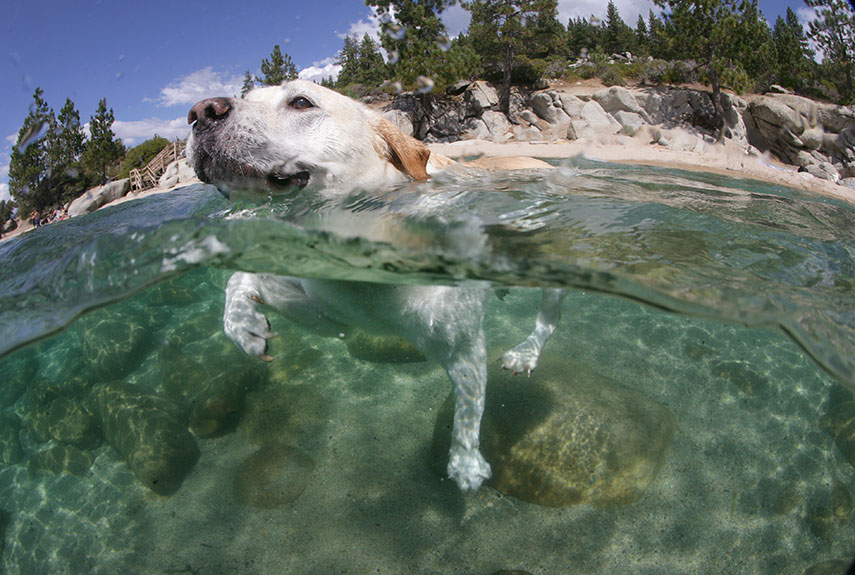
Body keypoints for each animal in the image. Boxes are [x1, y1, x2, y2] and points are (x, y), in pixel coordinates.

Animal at [185, 81, 564, 492]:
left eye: (301, 101)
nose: (200, 111)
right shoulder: (327, 310)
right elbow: (245, 279)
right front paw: (244, 325)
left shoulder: (459, 342)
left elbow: (469, 401)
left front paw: (465, 462)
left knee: (548, 318)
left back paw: (526, 352)